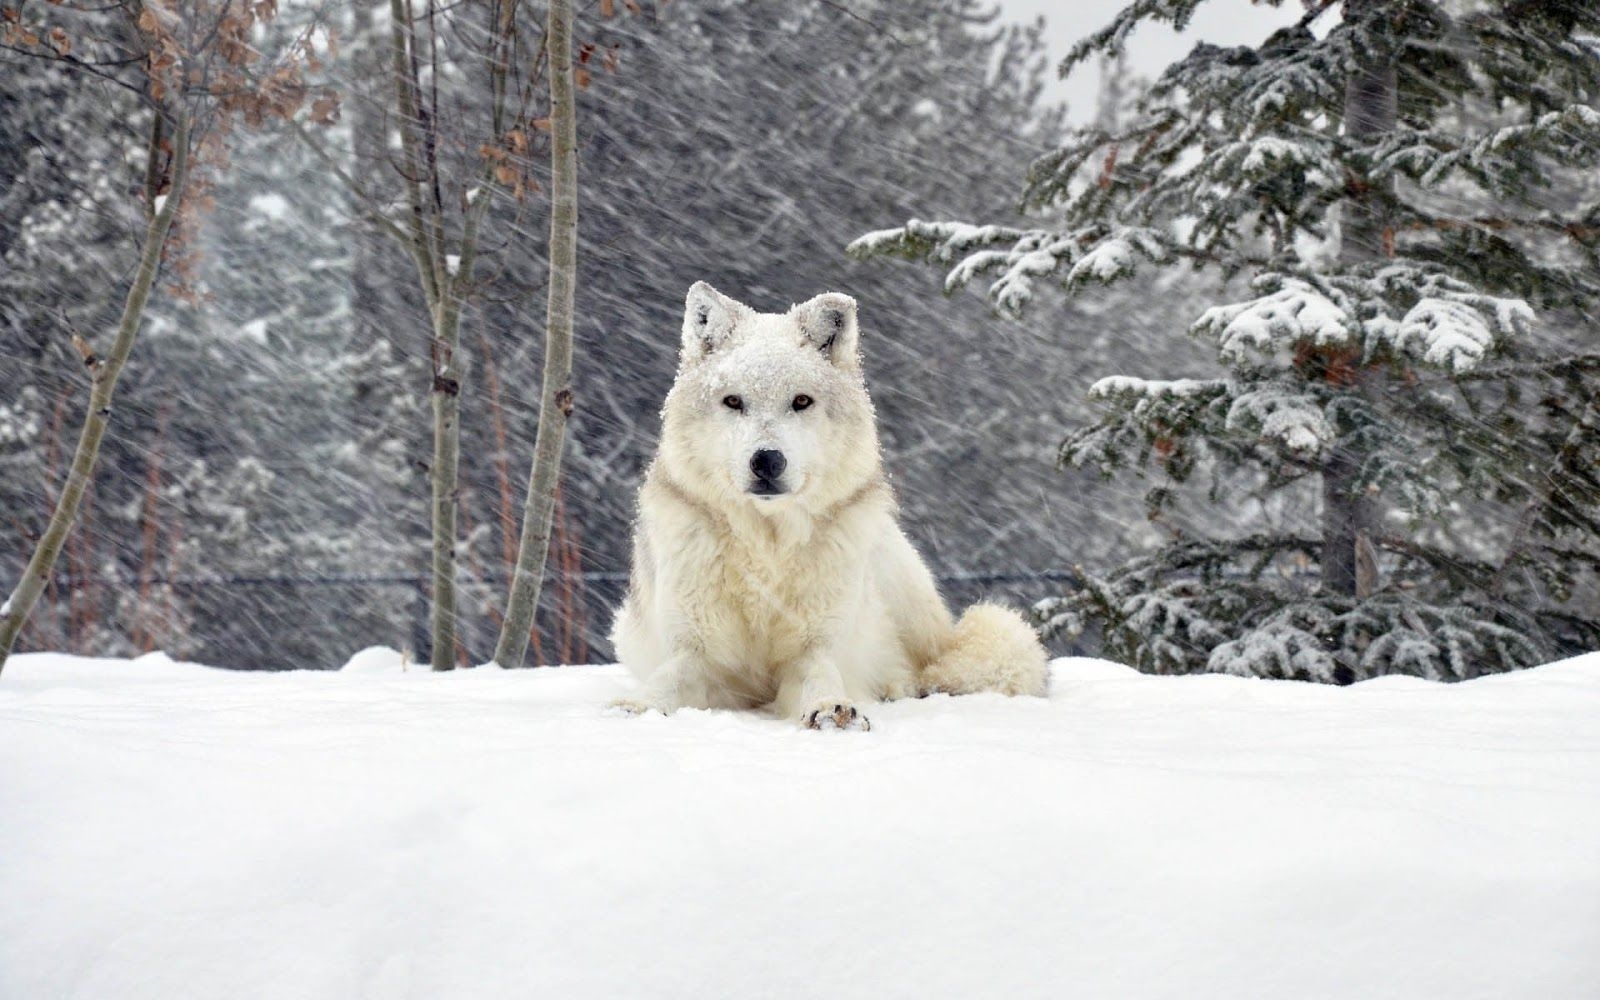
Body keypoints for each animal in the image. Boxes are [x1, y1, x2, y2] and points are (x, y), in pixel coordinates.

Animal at [608, 284, 1049, 729]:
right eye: (733, 401)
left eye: (801, 401)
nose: (767, 461)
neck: (766, 547)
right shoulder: (697, 650)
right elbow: (667, 679)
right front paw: (638, 707)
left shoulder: (815, 647)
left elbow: (821, 676)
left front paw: (830, 708)